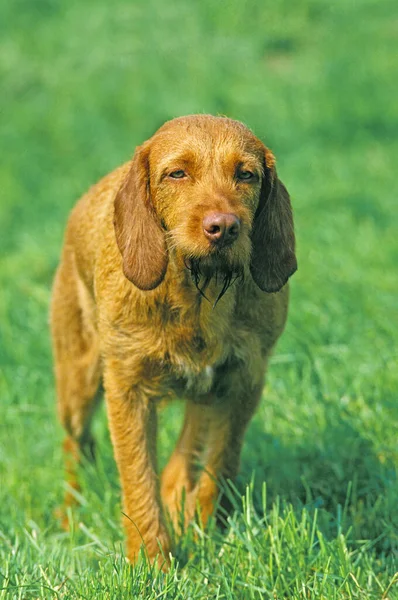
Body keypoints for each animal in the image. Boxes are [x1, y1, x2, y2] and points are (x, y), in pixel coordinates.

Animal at [50, 113, 296, 568]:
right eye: (177, 173)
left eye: (246, 174)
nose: (223, 228)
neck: (197, 292)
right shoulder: (127, 389)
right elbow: (138, 478)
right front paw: (152, 565)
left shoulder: (242, 382)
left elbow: (219, 465)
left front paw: (205, 536)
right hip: (77, 386)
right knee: (77, 444)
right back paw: (70, 514)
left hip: (204, 394)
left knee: (183, 458)